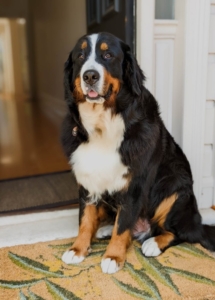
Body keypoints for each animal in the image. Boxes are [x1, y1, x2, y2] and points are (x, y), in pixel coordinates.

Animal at [60, 32, 215, 274]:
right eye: (80, 56)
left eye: (108, 55)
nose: (90, 76)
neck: (102, 124)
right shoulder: (87, 179)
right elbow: (85, 218)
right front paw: (78, 249)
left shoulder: (134, 184)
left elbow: (123, 225)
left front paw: (113, 256)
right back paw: (105, 229)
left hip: (176, 187)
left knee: (183, 232)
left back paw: (153, 243)